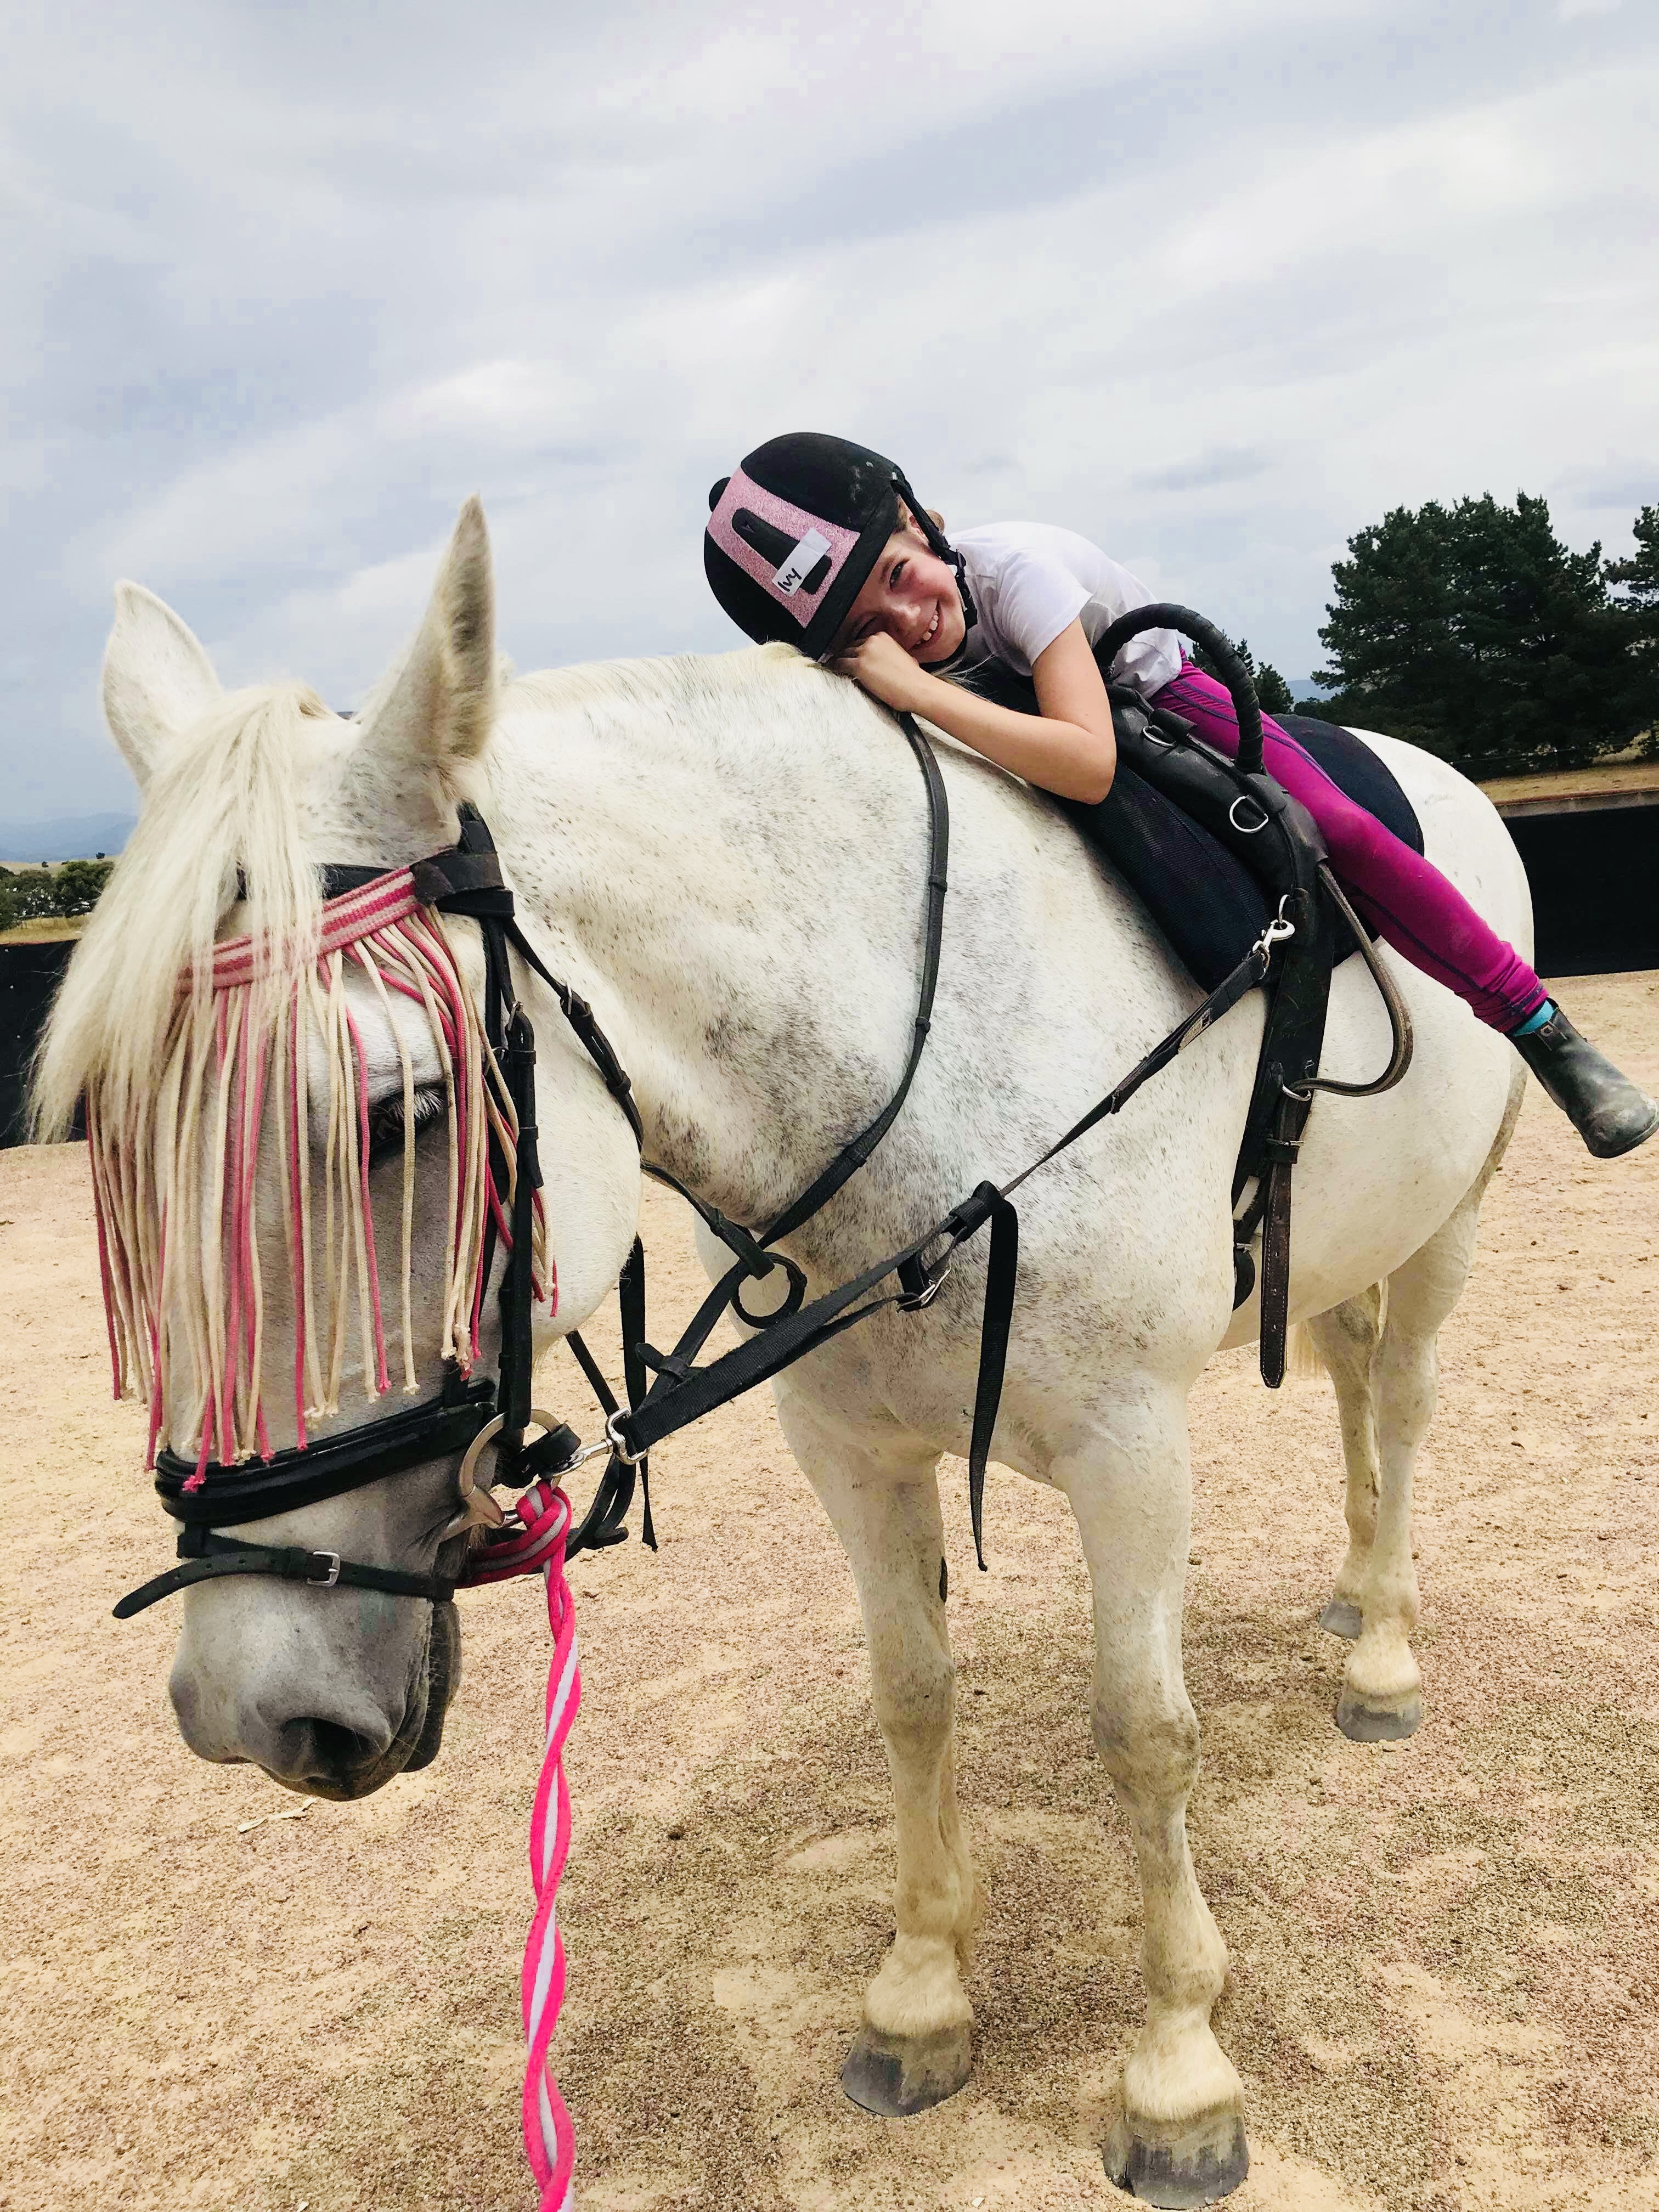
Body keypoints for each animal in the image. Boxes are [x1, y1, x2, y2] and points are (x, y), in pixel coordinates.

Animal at [39, 499, 1530, 2206]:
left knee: (1400, 1407)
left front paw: (1177, 2077)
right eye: (125, 1156)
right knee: (1348, 1374)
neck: (918, 1063)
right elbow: (913, 1693)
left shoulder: (1132, 1444)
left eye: (398, 1114)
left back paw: (1384, 1650)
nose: (250, 1700)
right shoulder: (848, 1449)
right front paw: (922, 1997)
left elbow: (1143, 1739)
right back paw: (1352, 1592)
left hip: (1450, 1226)